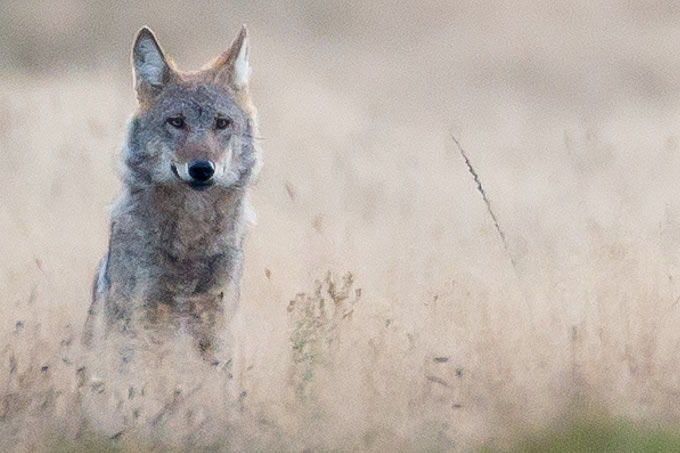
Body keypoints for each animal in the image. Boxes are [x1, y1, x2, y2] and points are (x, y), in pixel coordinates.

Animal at [80, 26, 260, 358]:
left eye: (222, 123)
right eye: (176, 122)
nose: (202, 168)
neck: (191, 234)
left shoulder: (217, 324)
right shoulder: (137, 321)